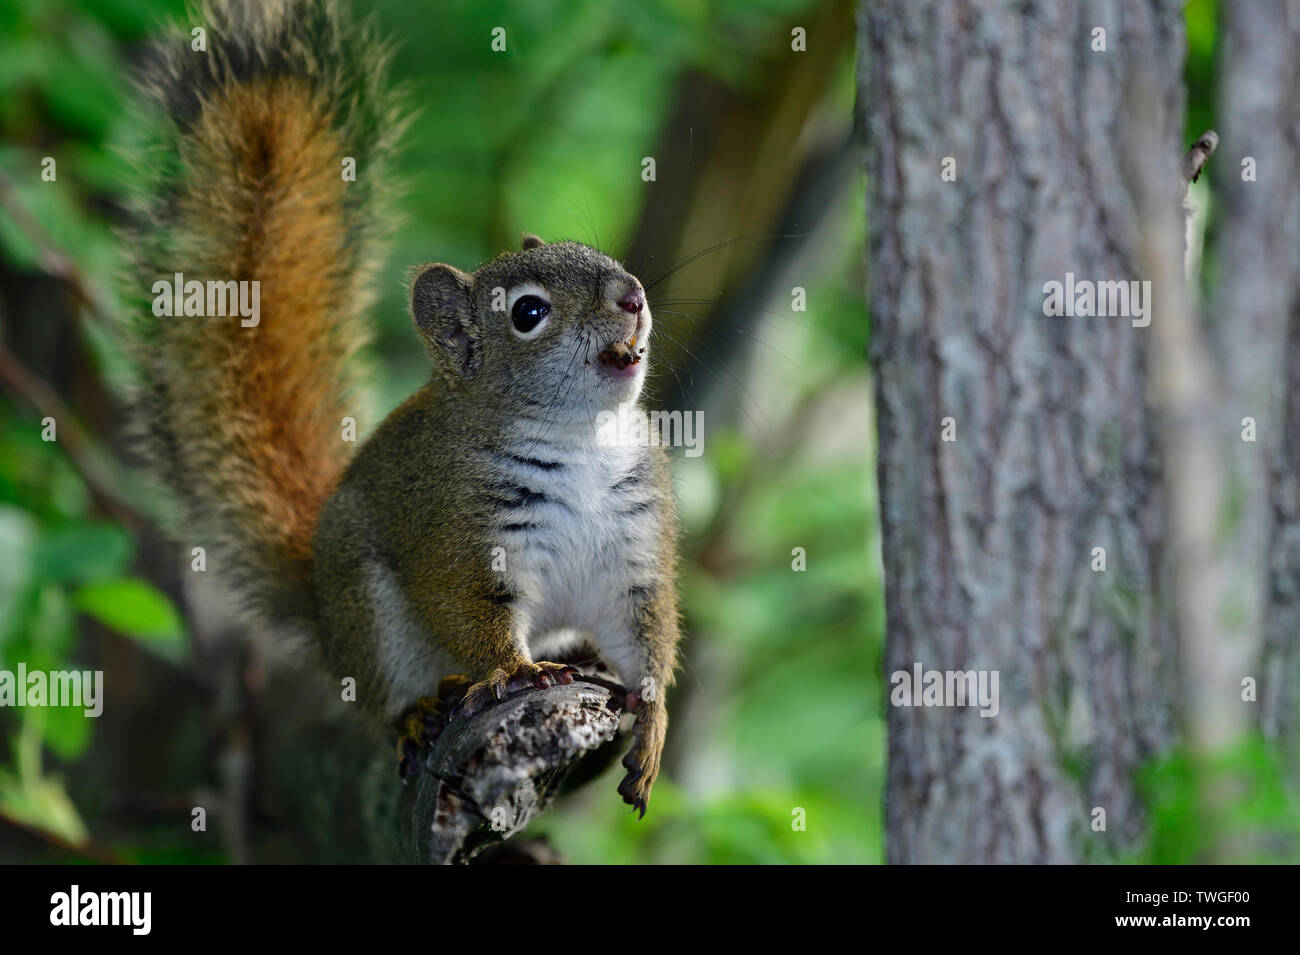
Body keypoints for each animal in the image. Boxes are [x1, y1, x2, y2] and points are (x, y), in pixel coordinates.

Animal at [122, 0, 680, 816]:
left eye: (597, 256)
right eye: (528, 313)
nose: (632, 295)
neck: (581, 437)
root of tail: (324, 618)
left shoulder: (634, 546)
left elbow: (645, 633)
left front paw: (653, 724)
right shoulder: (457, 529)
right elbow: (465, 607)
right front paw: (514, 671)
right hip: (369, 610)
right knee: (381, 697)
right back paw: (419, 712)